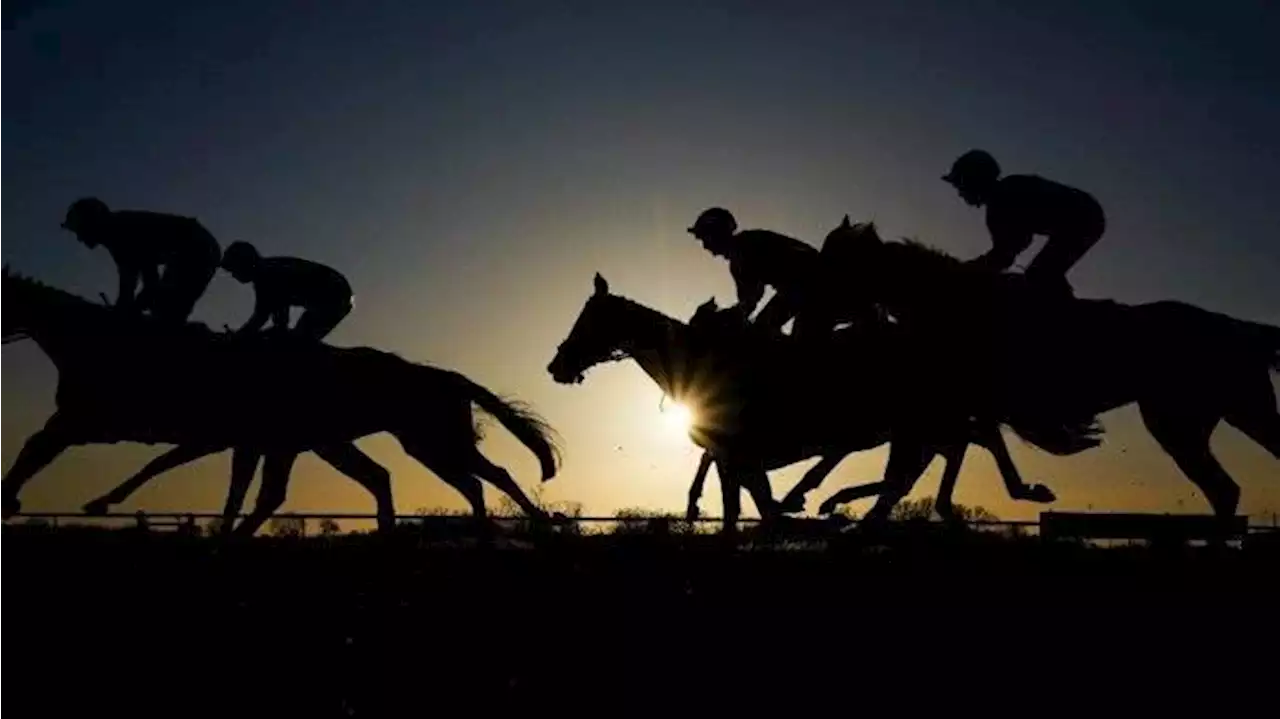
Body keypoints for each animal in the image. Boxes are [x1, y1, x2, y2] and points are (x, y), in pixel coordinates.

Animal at [0, 266, 560, 534]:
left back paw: (532, 528)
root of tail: (448, 376)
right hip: (386, 442)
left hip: (428, 439)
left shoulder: (90, 419)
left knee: (488, 477)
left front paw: (16, 498)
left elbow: (40, 450)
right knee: (443, 480)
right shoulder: (234, 437)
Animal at [545, 268, 1095, 527]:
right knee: (956, 446)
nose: (557, 365)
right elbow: (744, 503)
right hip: (921, 420)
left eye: (587, 319)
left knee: (955, 445)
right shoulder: (736, 457)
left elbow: (745, 508)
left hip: (919, 418)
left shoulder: (738, 455)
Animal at [814, 213, 1280, 519]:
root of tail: (1236, 327)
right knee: (1226, 489)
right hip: (1228, 412)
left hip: (1182, 421)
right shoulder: (971, 404)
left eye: (835, 264)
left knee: (1224, 488)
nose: (817, 318)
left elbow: (960, 450)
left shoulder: (971, 403)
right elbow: (974, 445)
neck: (953, 303)